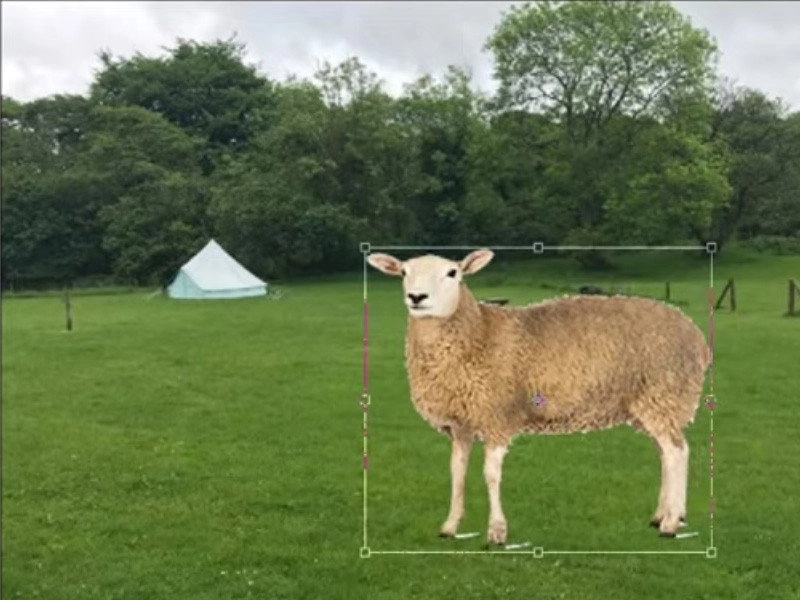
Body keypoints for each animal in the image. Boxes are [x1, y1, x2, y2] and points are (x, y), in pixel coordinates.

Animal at [367, 248, 709, 544]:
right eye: (404, 272)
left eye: (453, 273)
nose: (416, 297)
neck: (479, 333)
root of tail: (696, 334)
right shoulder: (461, 424)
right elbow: (457, 473)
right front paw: (450, 526)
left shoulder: (497, 415)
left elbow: (491, 474)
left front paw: (497, 532)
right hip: (649, 404)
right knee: (666, 454)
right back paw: (662, 515)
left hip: (664, 393)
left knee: (678, 452)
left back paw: (670, 523)